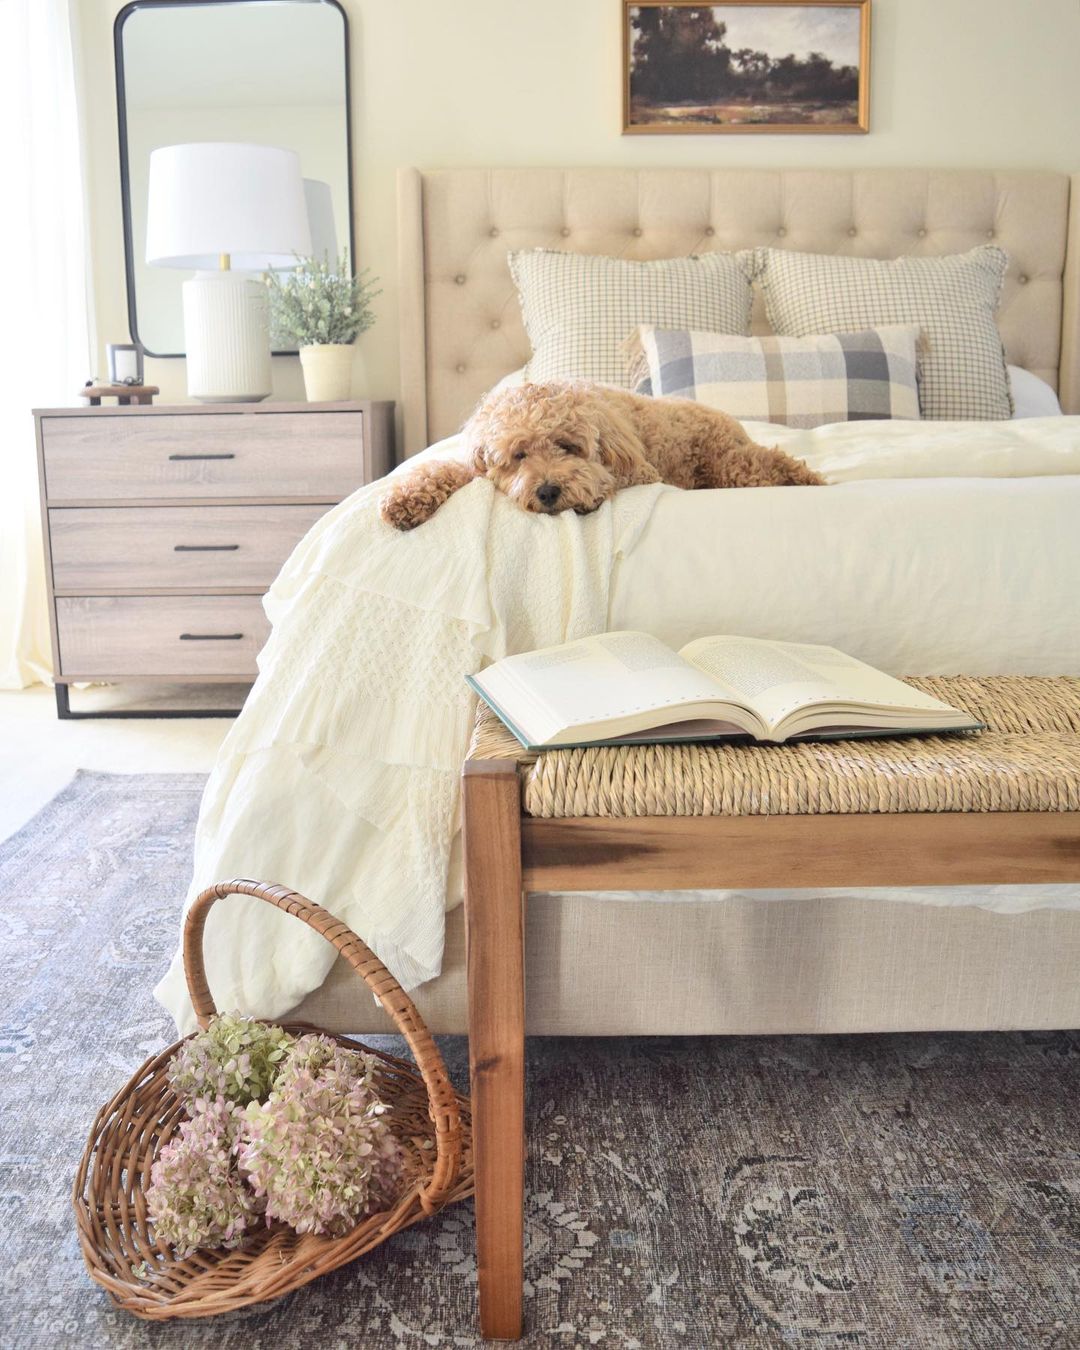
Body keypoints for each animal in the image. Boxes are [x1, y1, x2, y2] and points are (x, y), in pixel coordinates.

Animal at [378, 383, 820, 529]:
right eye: (518, 455)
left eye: (568, 446)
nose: (548, 492)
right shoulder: (475, 467)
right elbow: (441, 469)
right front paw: (405, 501)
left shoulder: (641, 468)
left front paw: (587, 492)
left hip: (732, 464)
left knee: (772, 461)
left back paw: (810, 479)